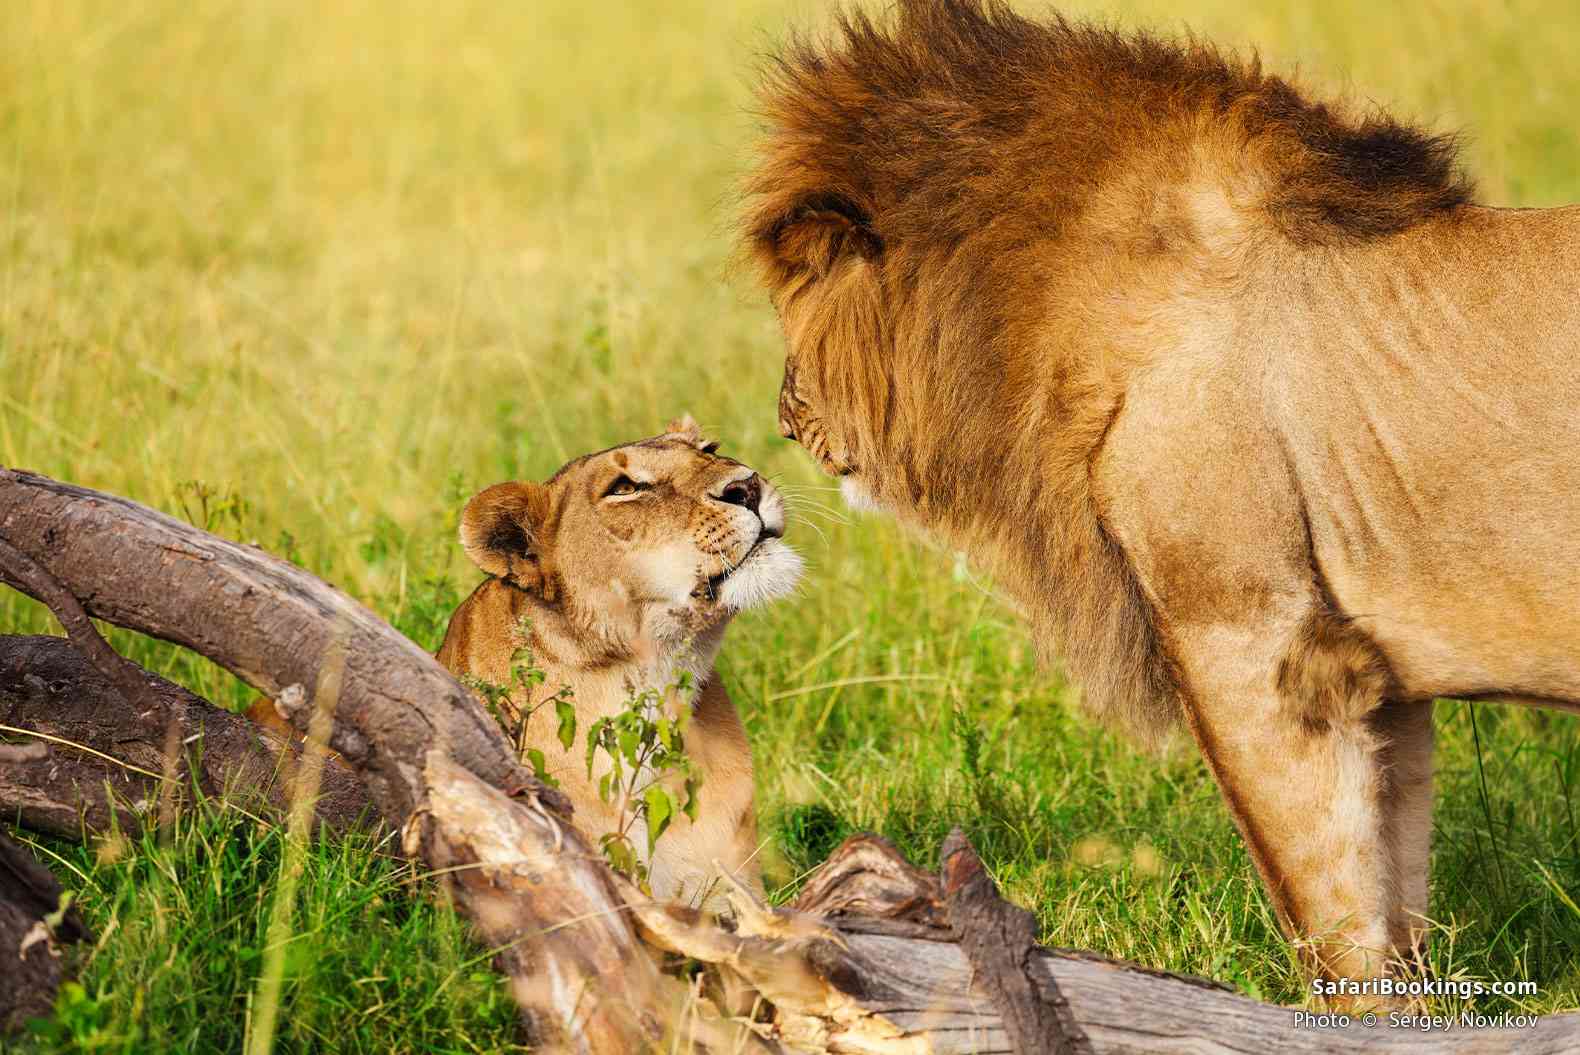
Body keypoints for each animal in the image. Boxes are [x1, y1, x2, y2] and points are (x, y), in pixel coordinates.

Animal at [742, 0, 1580, 995]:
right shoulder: (1378, 675)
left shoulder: (1260, 640)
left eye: (795, 296)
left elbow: (1326, 909)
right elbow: (1395, 883)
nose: (784, 412)